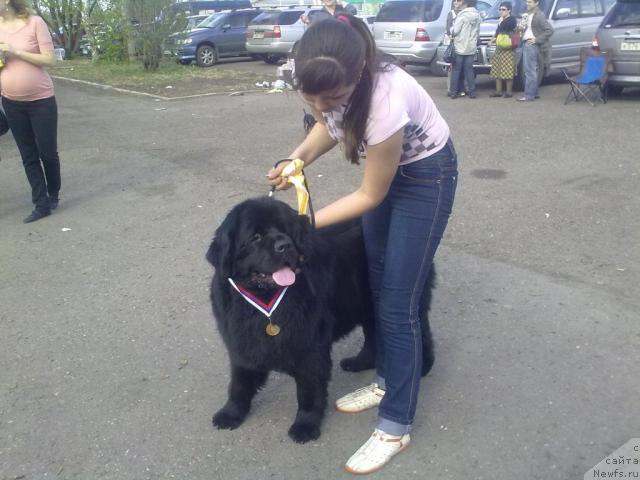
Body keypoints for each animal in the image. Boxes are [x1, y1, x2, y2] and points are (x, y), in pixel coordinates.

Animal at [205, 197, 436, 444]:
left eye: (286, 231)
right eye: (255, 237)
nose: (284, 245)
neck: (265, 304)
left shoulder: (310, 348)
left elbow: (308, 390)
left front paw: (305, 426)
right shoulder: (240, 343)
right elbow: (239, 383)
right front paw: (230, 413)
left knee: (420, 333)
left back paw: (423, 366)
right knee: (374, 335)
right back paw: (359, 362)